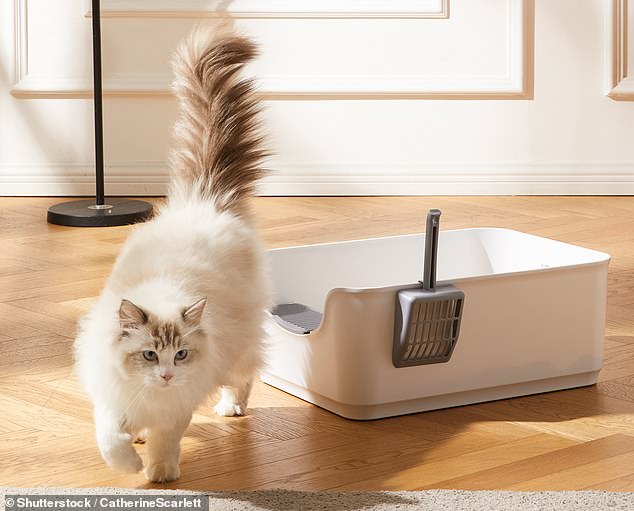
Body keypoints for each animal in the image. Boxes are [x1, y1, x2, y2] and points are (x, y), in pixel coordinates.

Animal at [73, 24, 270, 486]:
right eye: (149, 354)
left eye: (180, 355)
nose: (165, 374)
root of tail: (204, 201)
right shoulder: (111, 399)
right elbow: (110, 439)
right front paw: (130, 460)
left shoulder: (176, 406)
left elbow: (167, 440)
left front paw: (159, 472)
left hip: (235, 353)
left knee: (244, 378)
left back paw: (230, 408)